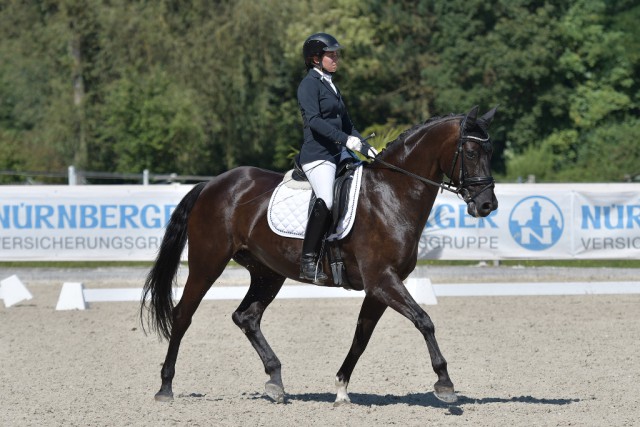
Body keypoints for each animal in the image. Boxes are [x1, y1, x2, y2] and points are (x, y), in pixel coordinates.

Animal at [140, 105, 500, 406]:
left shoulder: (380, 286)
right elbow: (424, 320)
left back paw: (275, 382)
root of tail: (213, 184)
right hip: (207, 263)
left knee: (246, 317)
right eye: (470, 152)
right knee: (182, 315)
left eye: (490, 151)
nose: (487, 205)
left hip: (267, 272)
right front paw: (445, 383)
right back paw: (165, 387)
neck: (391, 194)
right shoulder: (382, 280)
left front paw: (341, 388)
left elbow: (362, 336)